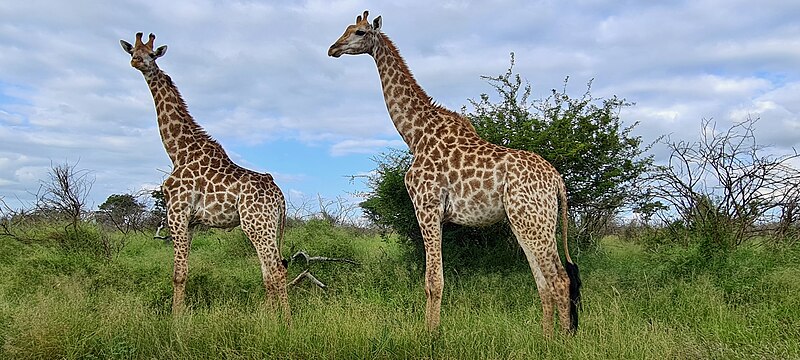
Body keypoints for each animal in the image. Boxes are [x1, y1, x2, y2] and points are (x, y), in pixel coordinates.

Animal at [122, 33, 290, 320]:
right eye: (133, 50)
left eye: (152, 54)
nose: (136, 61)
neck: (177, 151)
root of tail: (279, 196)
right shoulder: (191, 222)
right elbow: (184, 272)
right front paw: (179, 315)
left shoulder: (176, 213)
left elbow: (178, 274)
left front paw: (175, 321)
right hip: (267, 224)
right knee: (269, 272)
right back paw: (269, 319)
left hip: (257, 223)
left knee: (277, 271)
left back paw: (287, 323)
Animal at [326, 11, 580, 334]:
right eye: (345, 29)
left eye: (359, 32)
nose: (332, 48)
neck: (415, 135)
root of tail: (557, 180)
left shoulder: (427, 207)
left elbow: (433, 281)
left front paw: (430, 334)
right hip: (525, 222)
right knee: (544, 283)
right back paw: (546, 338)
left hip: (534, 221)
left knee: (560, 279)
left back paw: (563, 338)